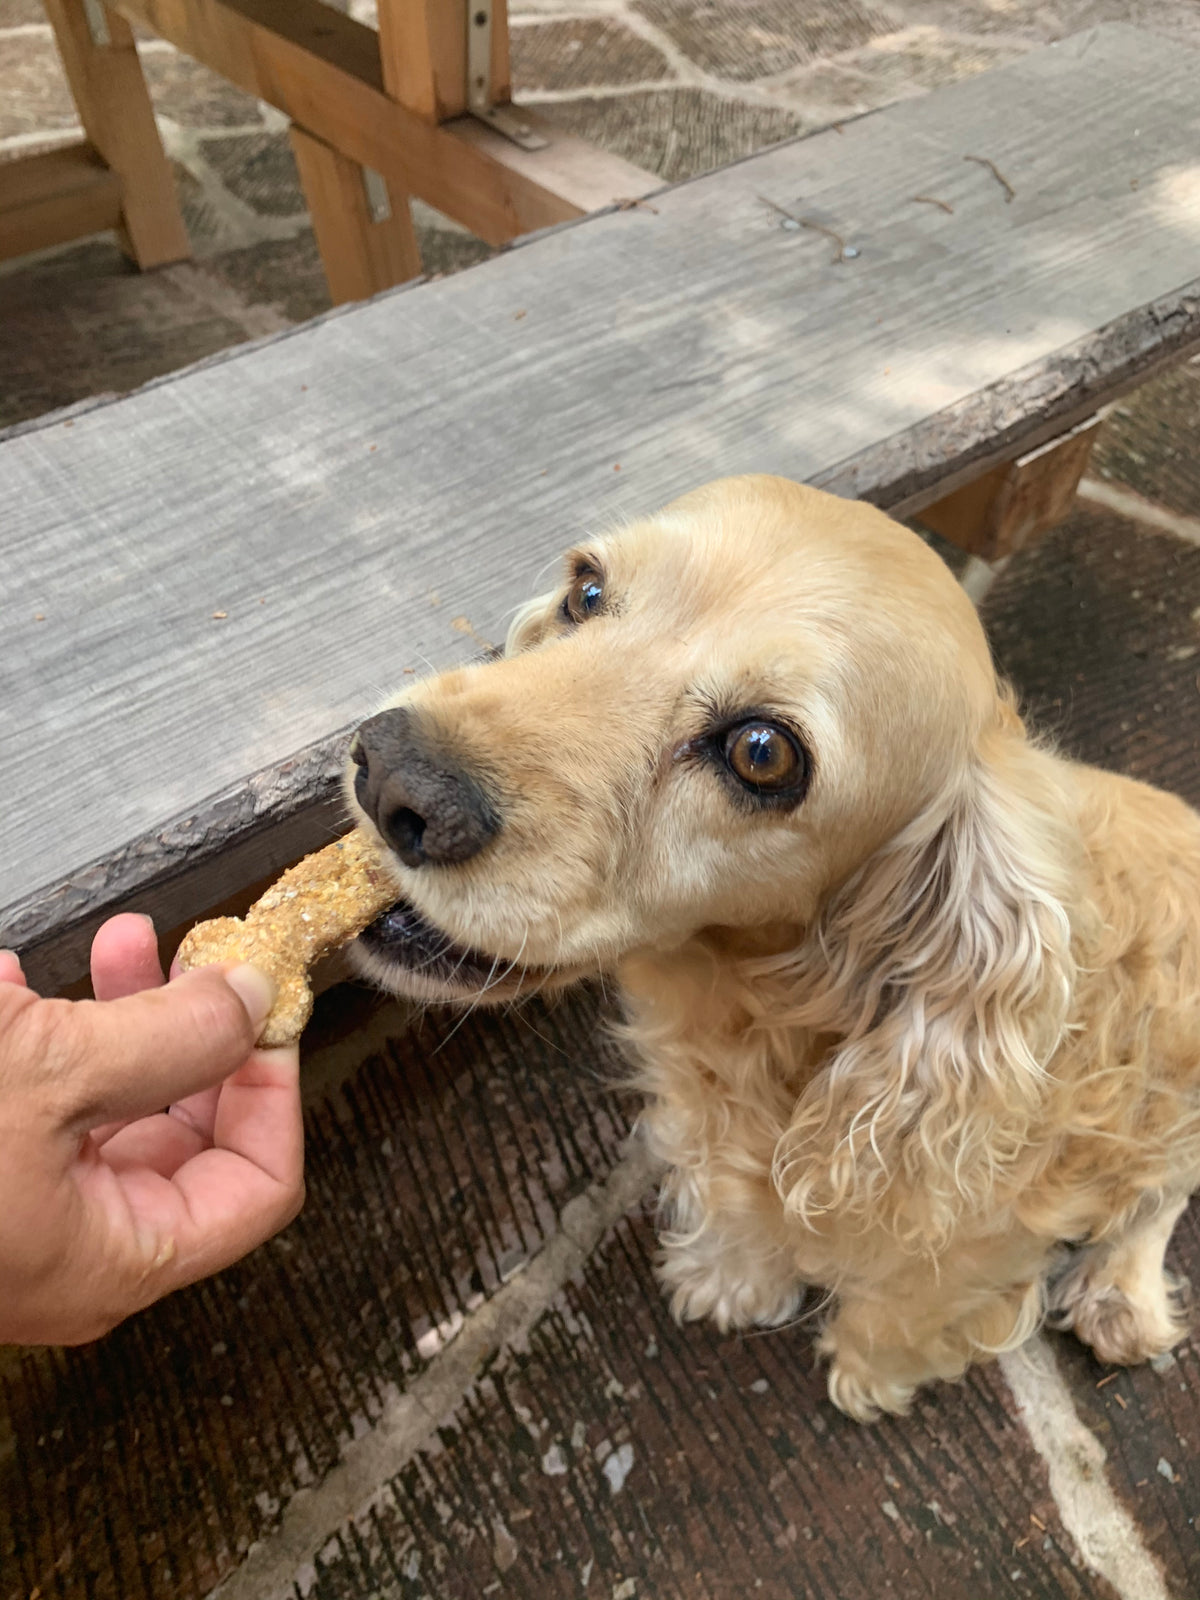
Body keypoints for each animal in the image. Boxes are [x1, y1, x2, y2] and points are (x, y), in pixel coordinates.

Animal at [345, 473, 1200, 1427]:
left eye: (761, 753)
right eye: (587, 592)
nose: (390, 773)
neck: (766, 1024)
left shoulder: (978, 1241)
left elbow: (903, 1310)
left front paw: (870, 1377)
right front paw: (729, 1279)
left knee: (1160, 1195)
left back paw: (1121, 1295)